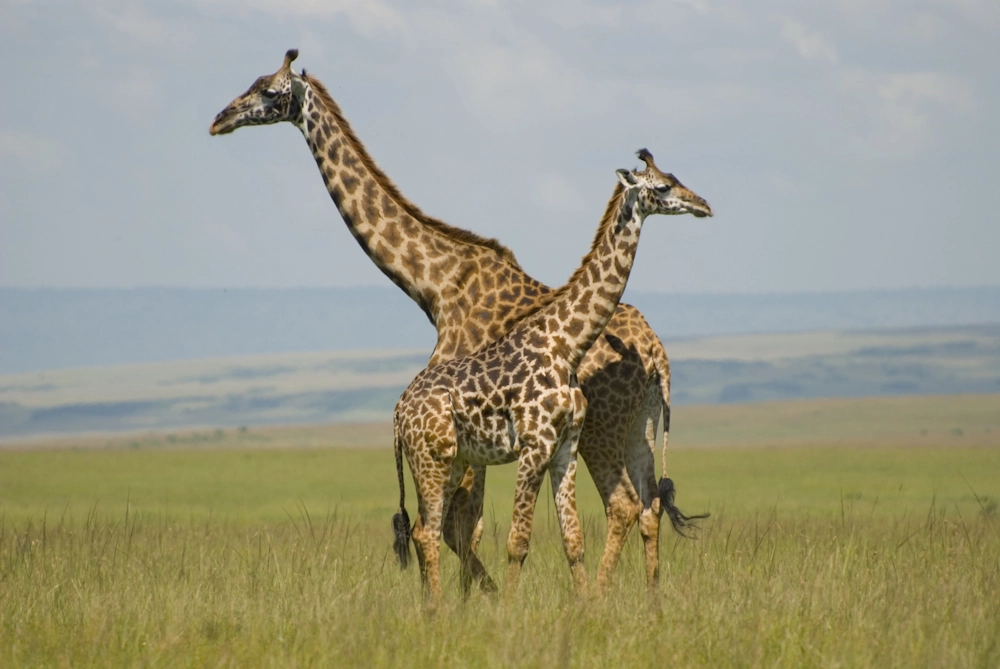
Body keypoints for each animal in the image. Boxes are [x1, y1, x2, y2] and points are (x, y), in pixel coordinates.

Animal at [391, 164, 712, 602]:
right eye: (663, 187)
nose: (704, 205)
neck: (566, 344)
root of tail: (398, 411)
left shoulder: (565, 446)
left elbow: (572, 540)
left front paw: (587, 606)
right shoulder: (534, 445)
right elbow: (517, 542)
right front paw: (508, 609)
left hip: (451, 460)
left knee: (425, 528)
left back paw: (430, 607)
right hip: (431, 460)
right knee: (427, 531)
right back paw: (436, 607)